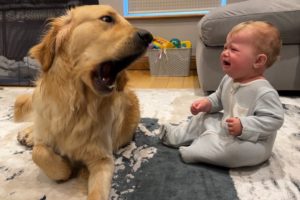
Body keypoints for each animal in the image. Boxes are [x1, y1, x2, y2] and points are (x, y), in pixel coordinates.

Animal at [14, 4, 152, 200]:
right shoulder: (47, 138)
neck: (77, 105)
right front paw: (64, 167)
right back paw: (28, 133)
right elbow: (39, 153)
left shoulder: (103, 159)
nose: (149, 36)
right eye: (107, 19)